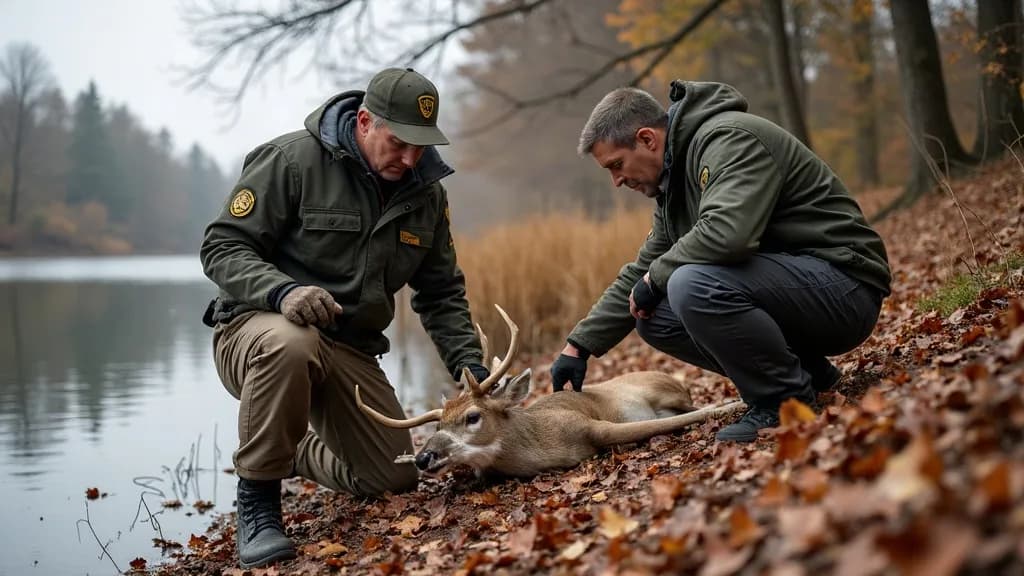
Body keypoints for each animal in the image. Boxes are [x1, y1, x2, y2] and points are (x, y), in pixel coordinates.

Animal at [355, 305, 745, 478]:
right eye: (436, 427)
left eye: (472, 416)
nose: (423, 457)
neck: (540, 447)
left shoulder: (592, 426)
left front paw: (734, 404)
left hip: (668, 392)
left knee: (686, 405)